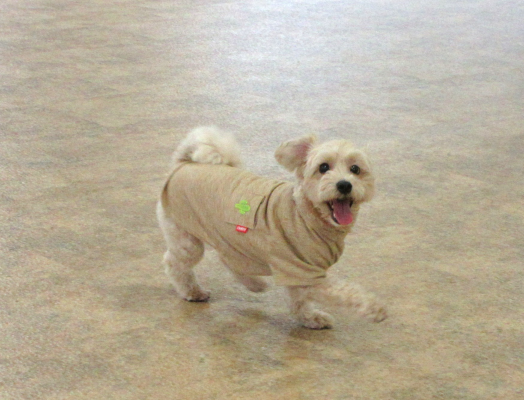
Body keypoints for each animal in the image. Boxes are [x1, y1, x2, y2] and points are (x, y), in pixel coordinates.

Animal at [157, 127, 387, 329]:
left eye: (355, 169)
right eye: (323, 167)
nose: (344, 185)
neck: (306, 214)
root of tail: (183, 163)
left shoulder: (296, 272)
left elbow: (299, 301)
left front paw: (310, 318)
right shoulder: (303, 272)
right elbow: (343, 291)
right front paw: (373, 308)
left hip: (229, 237)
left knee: (228, 260)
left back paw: (254, 284)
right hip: (186, 239)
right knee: (174, 264)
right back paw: (192, 291)